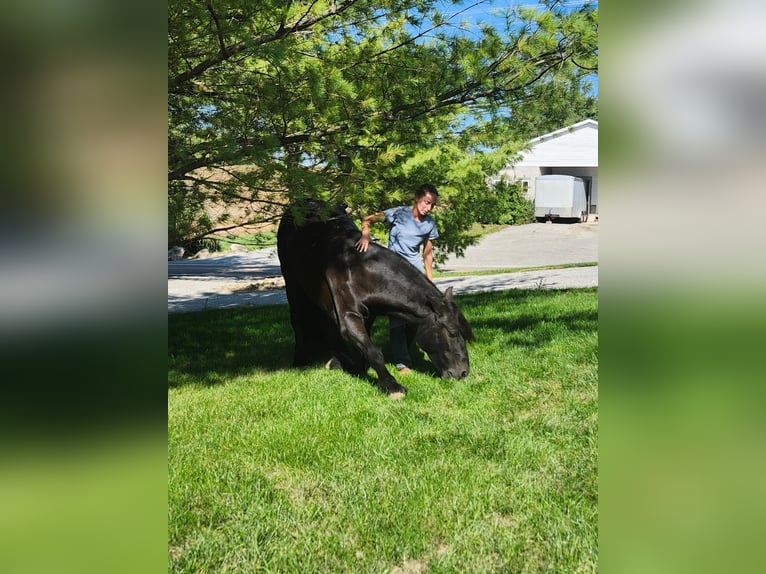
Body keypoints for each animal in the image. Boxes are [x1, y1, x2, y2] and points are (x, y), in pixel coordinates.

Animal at [278, 201, 474, 396]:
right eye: (452, 332)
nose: (464, 372)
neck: (356, 267)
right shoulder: (349, 316)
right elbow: (373, 351)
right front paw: (391, 386)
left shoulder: (368, 315)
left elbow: (363, 346)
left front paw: (357, 369)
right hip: (293, 286)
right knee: (298, 322)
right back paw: (300, 361)